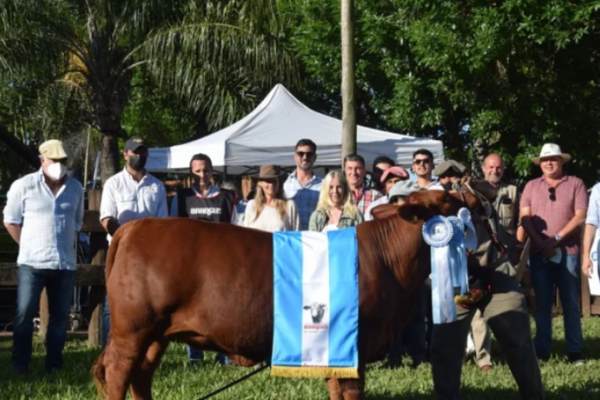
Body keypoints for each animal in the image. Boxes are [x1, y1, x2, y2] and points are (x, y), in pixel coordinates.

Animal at [92, 183, 492, 398]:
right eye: (447, 202)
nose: (475, 201)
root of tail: (135, 226)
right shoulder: (354, 345)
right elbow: (350, 392)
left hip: (155, 333)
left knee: (139, 375)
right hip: (134, 328)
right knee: (116, 372)